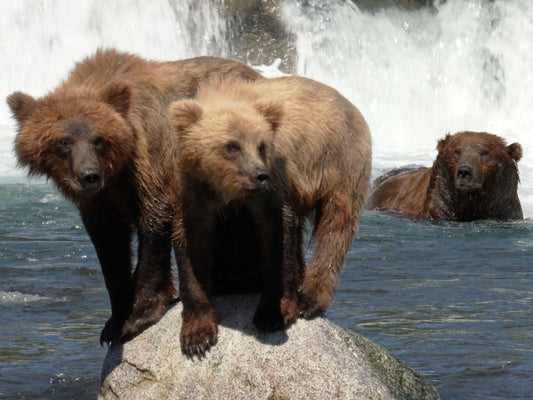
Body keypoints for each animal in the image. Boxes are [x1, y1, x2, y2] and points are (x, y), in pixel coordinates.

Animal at [5, 48, 260, 346]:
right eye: (63, 142)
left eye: (99, 139)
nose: (89, 175)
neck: (116, 170)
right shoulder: (101, 199)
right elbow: (109, 246)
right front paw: (114, 321)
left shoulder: (150, 159)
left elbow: (155, 220)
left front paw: (137, 316)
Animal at [169, 76, 370, 358]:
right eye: (232, 145)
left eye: (261, 145)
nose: (259, 174)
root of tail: (349, 103)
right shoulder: (193, 189)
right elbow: (191, 243)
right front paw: (197, 336)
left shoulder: (274, 187)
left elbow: (279, 234)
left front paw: (273, 313)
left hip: (339, 161)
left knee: (335, 226)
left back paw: (310, 299)